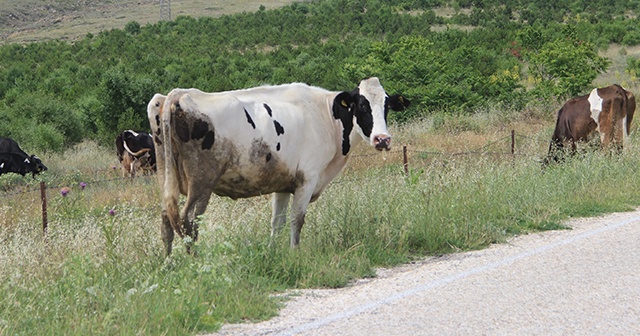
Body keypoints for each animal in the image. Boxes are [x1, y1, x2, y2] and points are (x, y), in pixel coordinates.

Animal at [148, 77, 410, 255]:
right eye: (362, 106)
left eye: (386, 106)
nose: (382, 139)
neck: (326, 115)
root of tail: (178, 94)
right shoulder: (307, 179)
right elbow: (297, 219)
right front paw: (295, 254)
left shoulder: (283, 184)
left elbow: (277, 222)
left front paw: (273, 252)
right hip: (202, 181)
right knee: (189, 220)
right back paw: (195, 261)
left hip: (167, 178)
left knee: (166, 219)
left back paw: (169, 265)